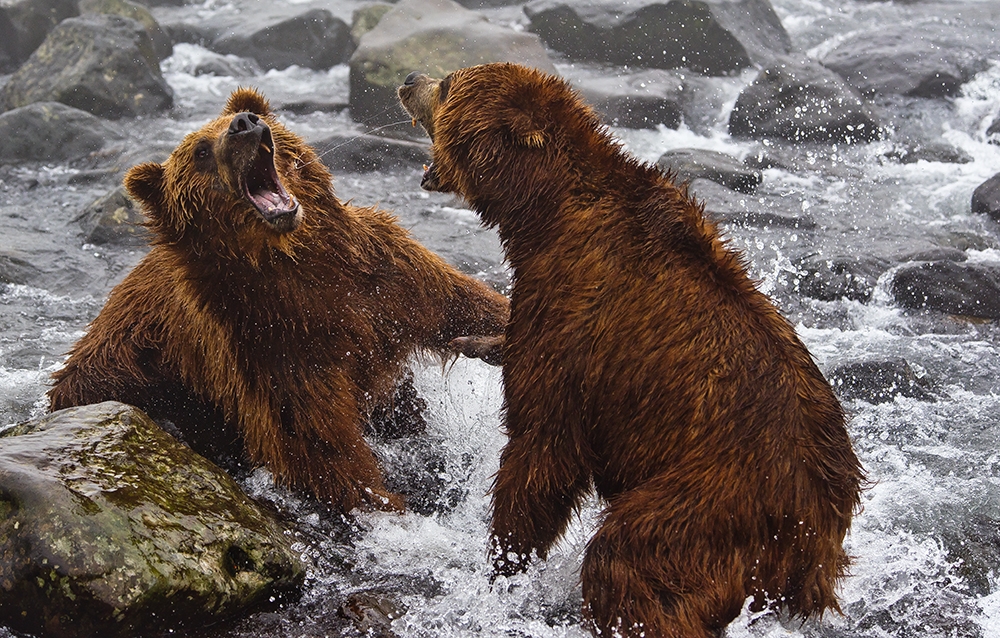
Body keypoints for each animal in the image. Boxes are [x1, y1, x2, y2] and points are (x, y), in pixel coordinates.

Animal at [48, 87, 510, 513]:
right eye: (200, 151)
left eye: (243, 115)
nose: (244, 125)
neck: (291, 260)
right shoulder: (266, 337)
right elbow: (315, 439)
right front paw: (382, 499)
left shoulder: (381, 275)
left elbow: (461, 305)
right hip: (128, 378)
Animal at [399, 63, 864, 637]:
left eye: (446, 86)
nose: (409, 80)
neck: (541, 213)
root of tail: (819, 530)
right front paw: (477, 340)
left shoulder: (574, 317)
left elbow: (543, 448)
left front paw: (502, 562)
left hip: (709, 501)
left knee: (625, 560)